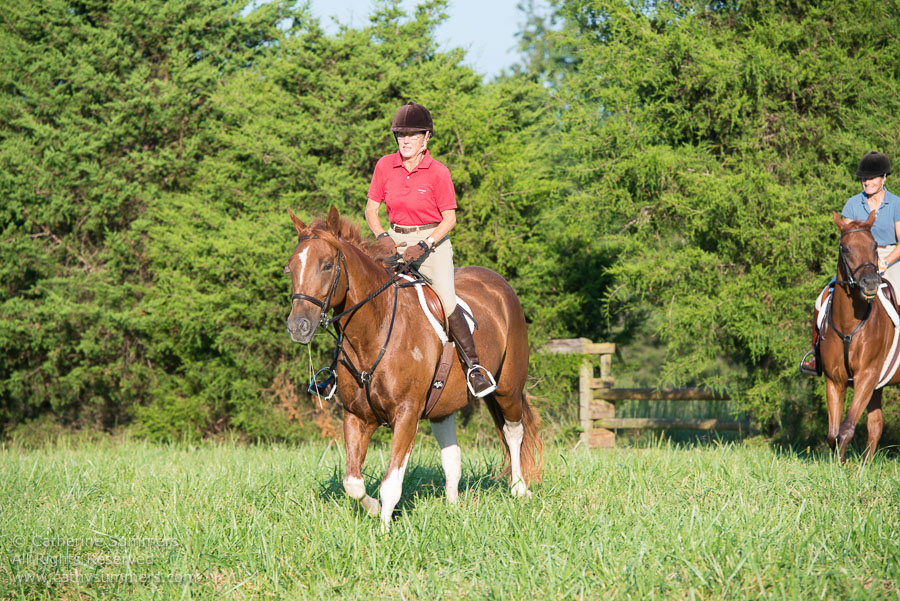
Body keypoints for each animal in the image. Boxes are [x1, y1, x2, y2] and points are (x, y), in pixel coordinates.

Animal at [286, 206, 540, 524]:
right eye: (290, 267)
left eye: (327, 265)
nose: (298, 326)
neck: (375, 329)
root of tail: (499, 283)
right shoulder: (356, 416)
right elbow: (353, 483)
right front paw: (372, 509)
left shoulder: (406, 415)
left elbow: (391, 484)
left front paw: (384, 529)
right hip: (443, 404)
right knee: (452, 455)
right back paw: (453, 508)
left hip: (508, 388)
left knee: (513, 432)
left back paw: (519, 489)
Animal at [824, 211, 892, 460]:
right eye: (844, 248)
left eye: (873, 245)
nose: (871, 282)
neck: (848, 326)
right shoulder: (835, 379)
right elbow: (833, 434)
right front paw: (839, 464)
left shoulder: (867, 376)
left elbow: (846, 427)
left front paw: (844, 467)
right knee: (876, 424)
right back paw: (866, 464)